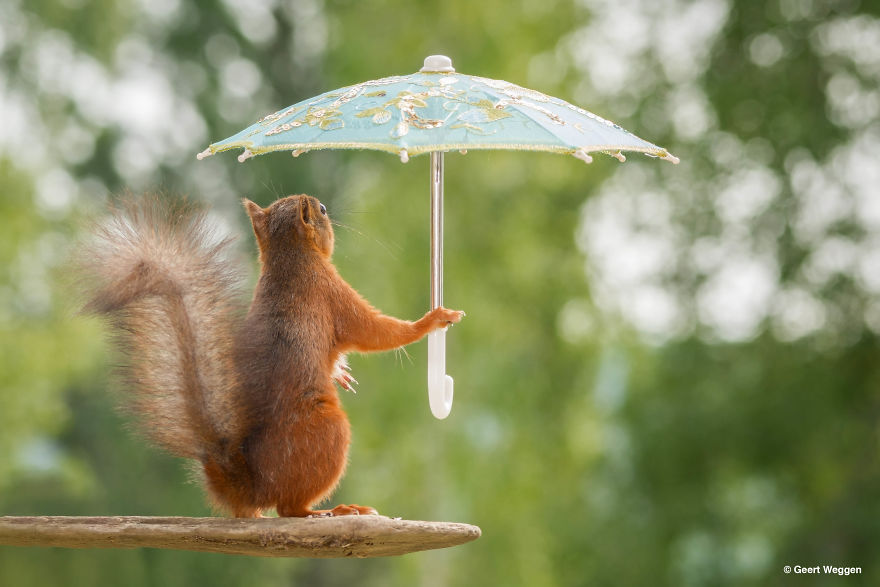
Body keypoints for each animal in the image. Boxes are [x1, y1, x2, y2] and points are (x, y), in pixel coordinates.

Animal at [77, 194, 464, 517]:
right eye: (322, 210)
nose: (328, 210)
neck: (288, 258)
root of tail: (251, 487)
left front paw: (340, 372)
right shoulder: (331, 291)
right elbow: (376, 331)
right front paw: (431, 320)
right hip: (328, 430)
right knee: (289, 509)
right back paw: (332, 510)